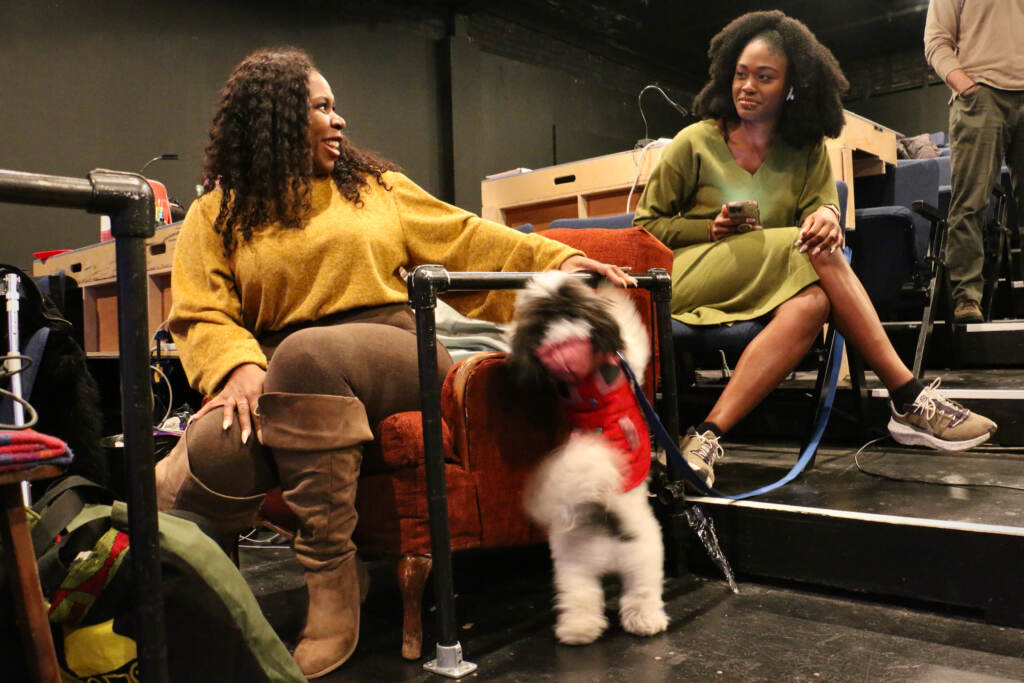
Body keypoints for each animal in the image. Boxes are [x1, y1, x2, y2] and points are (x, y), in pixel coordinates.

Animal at [507, 270, 667, 647]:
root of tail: (599, 510)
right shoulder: (629, 356)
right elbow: (629, 326)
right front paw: (613, 286)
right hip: (644, 556)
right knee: (641, 593)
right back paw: (647, 621)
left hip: (572, 567)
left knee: (580, 600)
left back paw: (577, 630)